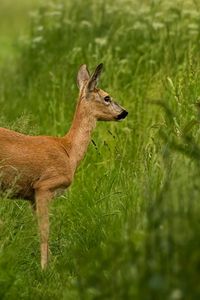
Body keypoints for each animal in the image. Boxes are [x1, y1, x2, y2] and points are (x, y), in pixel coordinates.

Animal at [0, 62, 128, 268]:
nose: (124, 112)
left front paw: (51, 264)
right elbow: (45, 231)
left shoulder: (32, 197)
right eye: (107, 97)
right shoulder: (44, 185)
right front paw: (44, 269)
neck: (69, 151)